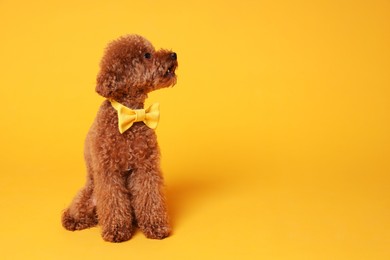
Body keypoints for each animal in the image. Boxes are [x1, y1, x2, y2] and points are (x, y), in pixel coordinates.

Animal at [61, 34, 177, 242]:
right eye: (147, 55)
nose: (173, 54)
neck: (130, 114)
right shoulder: (108, 171)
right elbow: (113, 201)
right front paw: (116, 231)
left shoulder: (146, 167)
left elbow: (150, 197)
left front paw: (155, 226)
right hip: (87, 195)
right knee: (77, 210)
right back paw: (74, 221)